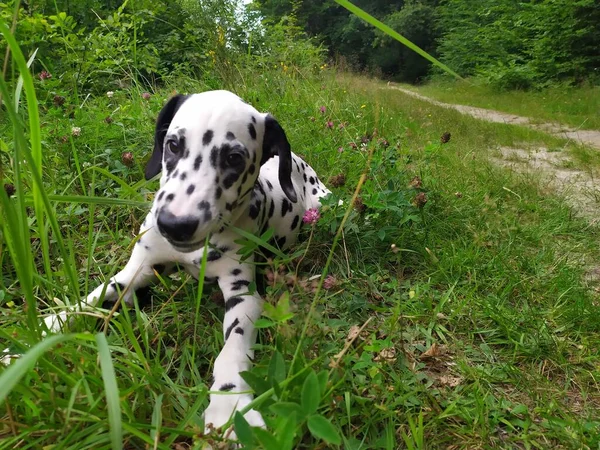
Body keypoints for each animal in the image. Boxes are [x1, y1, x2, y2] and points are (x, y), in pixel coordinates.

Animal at [39, 89, 330, 438]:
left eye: (234, 158)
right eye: (173, 144)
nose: (174, 224)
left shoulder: (244, 295)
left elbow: (232, 348)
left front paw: (229, 403)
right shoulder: (136, 273)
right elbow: (89, 301)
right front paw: (40, 333)